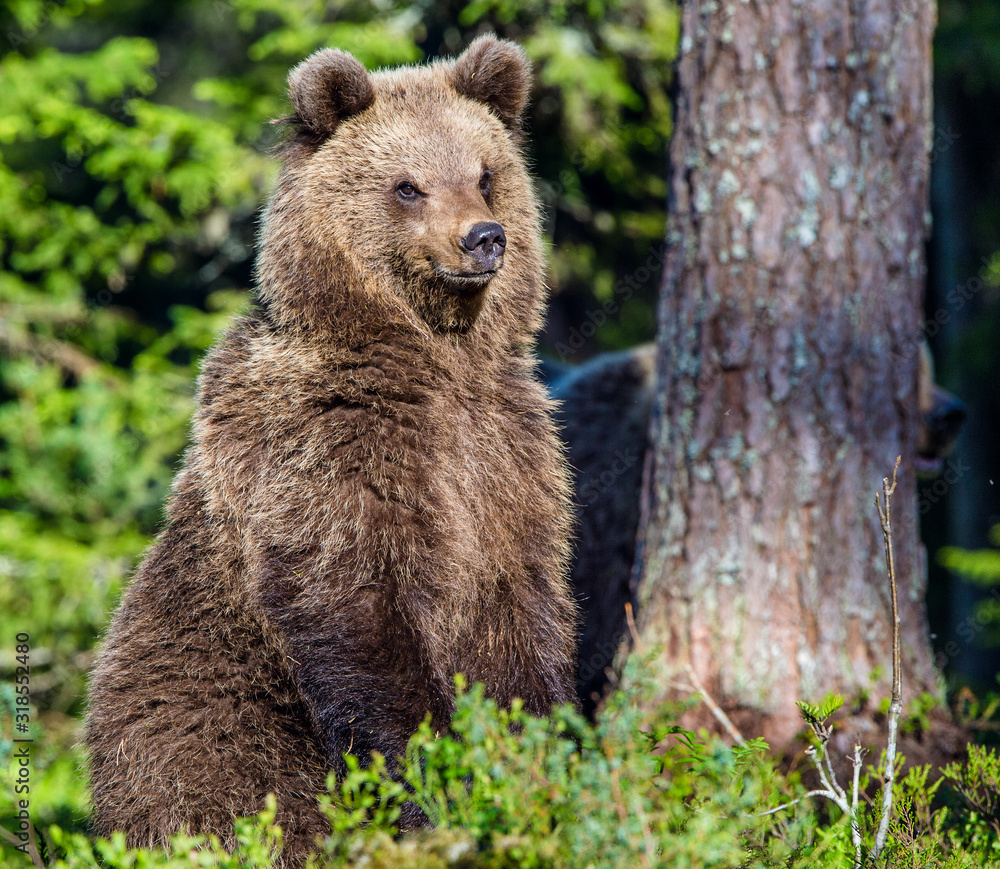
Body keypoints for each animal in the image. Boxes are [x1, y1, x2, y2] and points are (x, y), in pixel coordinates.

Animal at [87, 35, 580, 860]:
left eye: (485, 172)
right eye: (407, 185)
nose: (483, 238)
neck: (434, 361)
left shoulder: (507, 456)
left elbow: (523, 615)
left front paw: (540, 760)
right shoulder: (330, 451)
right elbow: (360, 610)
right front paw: (434, 778)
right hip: (208, 712)